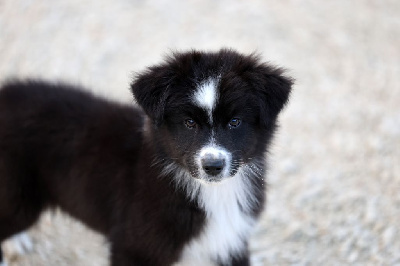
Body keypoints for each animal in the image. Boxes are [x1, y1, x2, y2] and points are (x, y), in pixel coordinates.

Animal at [0, 48, 294, 264]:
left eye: (235, 122)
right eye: (189, 123)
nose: (213, 165)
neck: (211, 193)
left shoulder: (230, 241)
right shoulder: (132, 247)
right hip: (18, 198)